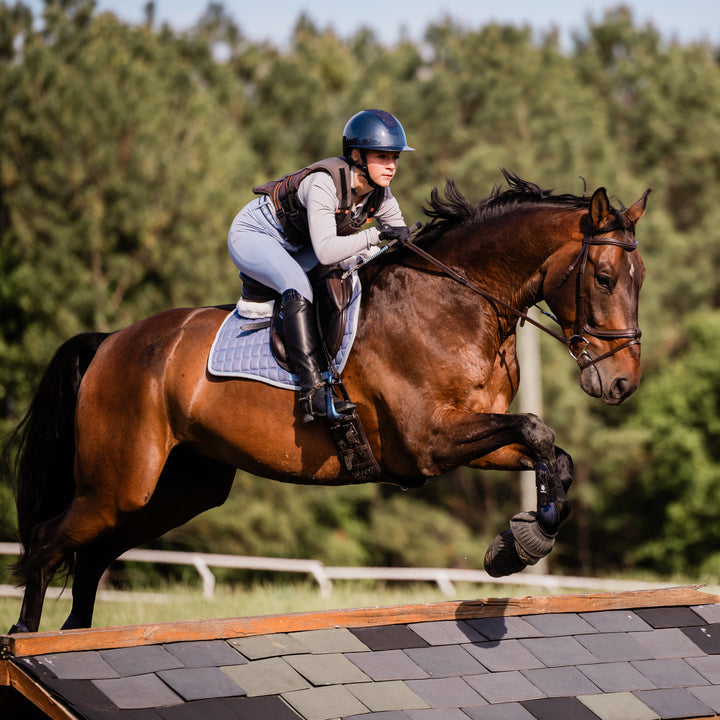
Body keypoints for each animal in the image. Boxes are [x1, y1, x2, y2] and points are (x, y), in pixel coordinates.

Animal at [6, 171, 649, 633]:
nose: (622, 383)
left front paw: (517, 543)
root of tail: (111, 341)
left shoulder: (468, 439)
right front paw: (521, 543)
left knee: (93, 555)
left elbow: (553, 453)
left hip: (178, 489)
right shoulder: (430, 440)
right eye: (603, 277)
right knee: (47, 543)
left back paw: (73, 633)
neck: (457, 303)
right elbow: (539, 431)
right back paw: (25, 633)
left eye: (638, 278)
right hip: (120, 481)